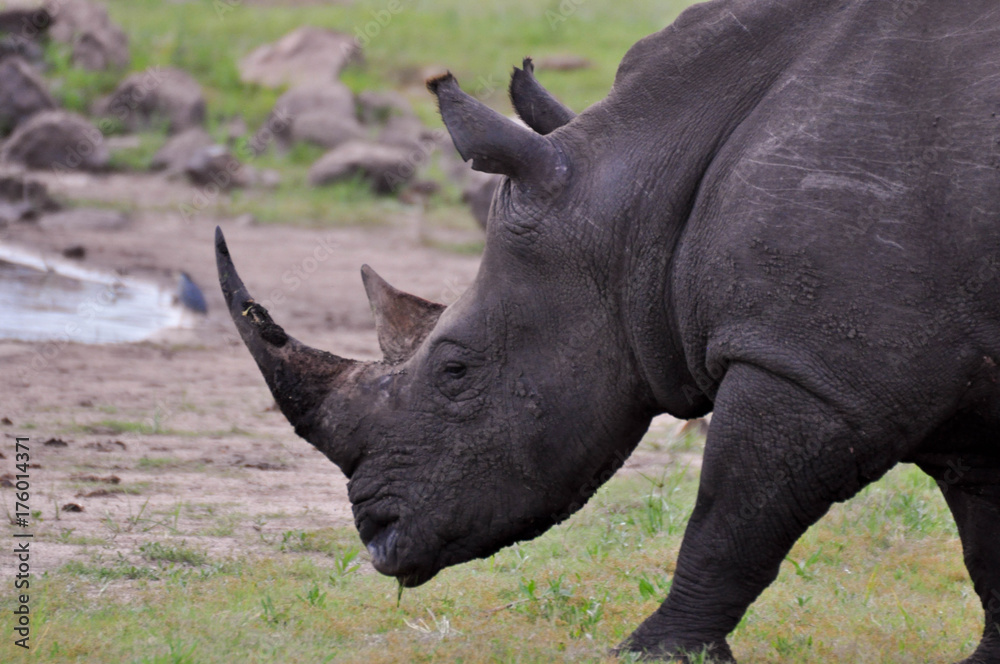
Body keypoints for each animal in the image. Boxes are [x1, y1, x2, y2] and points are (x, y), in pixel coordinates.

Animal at [215, 0, 1000, 660]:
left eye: (455, 372)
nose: (375, 534)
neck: (639, 191)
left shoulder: (811, 367)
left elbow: (728, 520)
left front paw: (653, 654)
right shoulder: (944, 375)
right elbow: (983, 536)